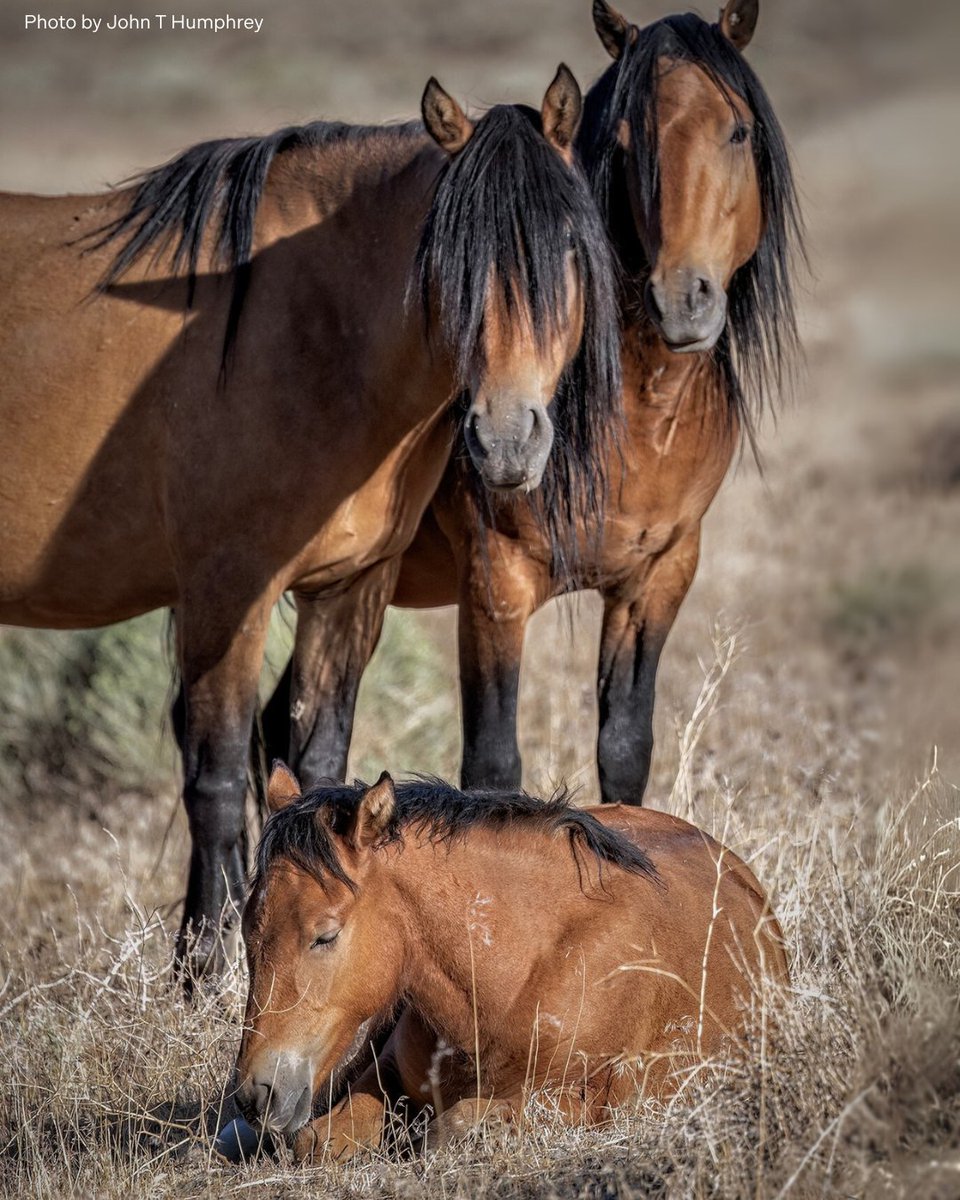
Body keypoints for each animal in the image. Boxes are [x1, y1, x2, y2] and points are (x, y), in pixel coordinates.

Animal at [0, 68, 621, 980]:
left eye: (571, 250)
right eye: (448, 263)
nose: (507, 440)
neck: (307, 332)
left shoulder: (348, 589)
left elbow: (317, 760)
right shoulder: (227, 594)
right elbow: (218, 778)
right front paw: (204, 971)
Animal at [230, 763, 787, 1158]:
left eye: (325, 936)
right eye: (247, 930)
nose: (256, 1095)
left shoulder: (596, 1104)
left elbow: (449, 1128)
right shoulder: (384, 1069)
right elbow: (318, 1139)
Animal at [254, 0, 803, 805]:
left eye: (736, 130)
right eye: (624, 144)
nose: (683, 300)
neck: (635, 416)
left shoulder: (659, 576)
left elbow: (625, 748)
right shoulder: (495, 585)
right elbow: (491, 764)